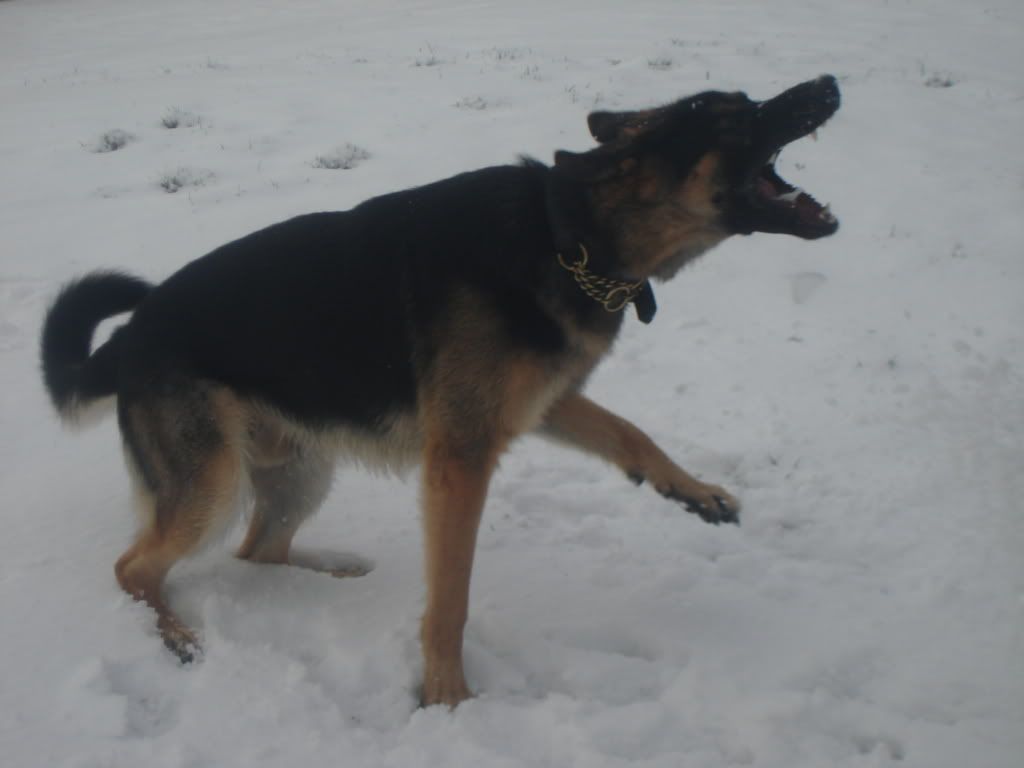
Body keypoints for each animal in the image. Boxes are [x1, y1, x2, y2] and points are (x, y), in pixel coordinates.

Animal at [39, 75, 839, 708]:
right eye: (733, 117)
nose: (828, 83)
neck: (569, 234)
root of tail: (127, 338)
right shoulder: (461, 458)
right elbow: (450, 598)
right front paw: (448, 698)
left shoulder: (541, 403)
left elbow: (632, 433)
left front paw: (695, 492)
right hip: (210, 484)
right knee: (136, 568)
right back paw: (175, 635)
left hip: (300, 471)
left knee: (258, 551)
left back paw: (332, 581)